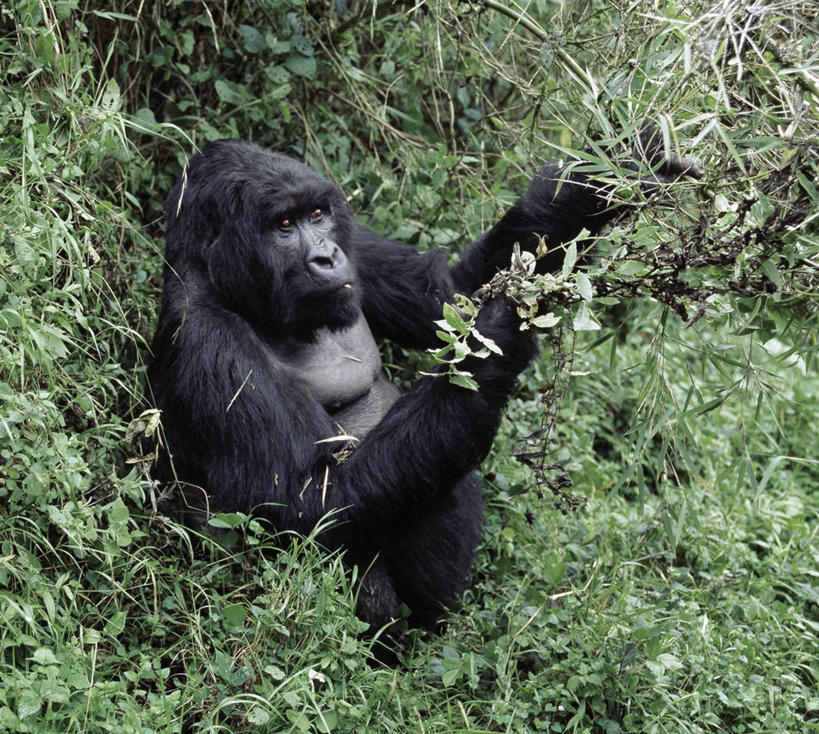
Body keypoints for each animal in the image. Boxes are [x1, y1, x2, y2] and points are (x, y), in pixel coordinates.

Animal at [149, 137, 700, 632]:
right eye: (283, 225)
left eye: (318, 215)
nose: (327, 256)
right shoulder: (209, 343)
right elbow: (312, 508)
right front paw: (498, 329)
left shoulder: (359, 250)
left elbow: (452, 297)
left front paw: (612, 170)